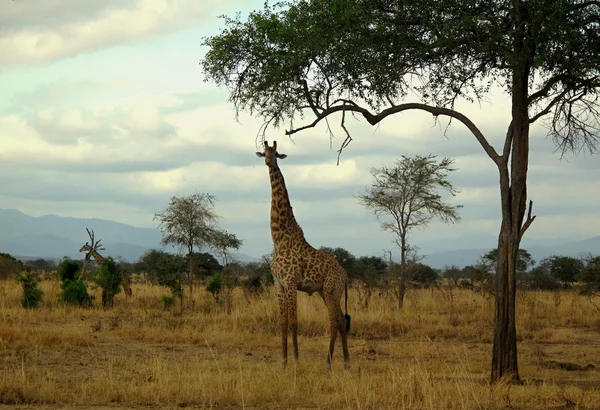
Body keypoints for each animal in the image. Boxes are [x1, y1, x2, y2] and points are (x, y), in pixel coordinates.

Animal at [254, 141, 350, 372]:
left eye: (276, 153)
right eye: (265, 152)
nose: (268, 160)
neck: (279, 239)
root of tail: (345, 276)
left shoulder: (290, 283)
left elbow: (294, 322)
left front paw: (296, 361)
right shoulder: (278, 284)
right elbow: (282, 323)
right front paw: (283, 361)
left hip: (331, 290)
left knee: (335, 321)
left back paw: (329, 364)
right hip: (326, 292)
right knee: (341, 320)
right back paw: (345, 363)